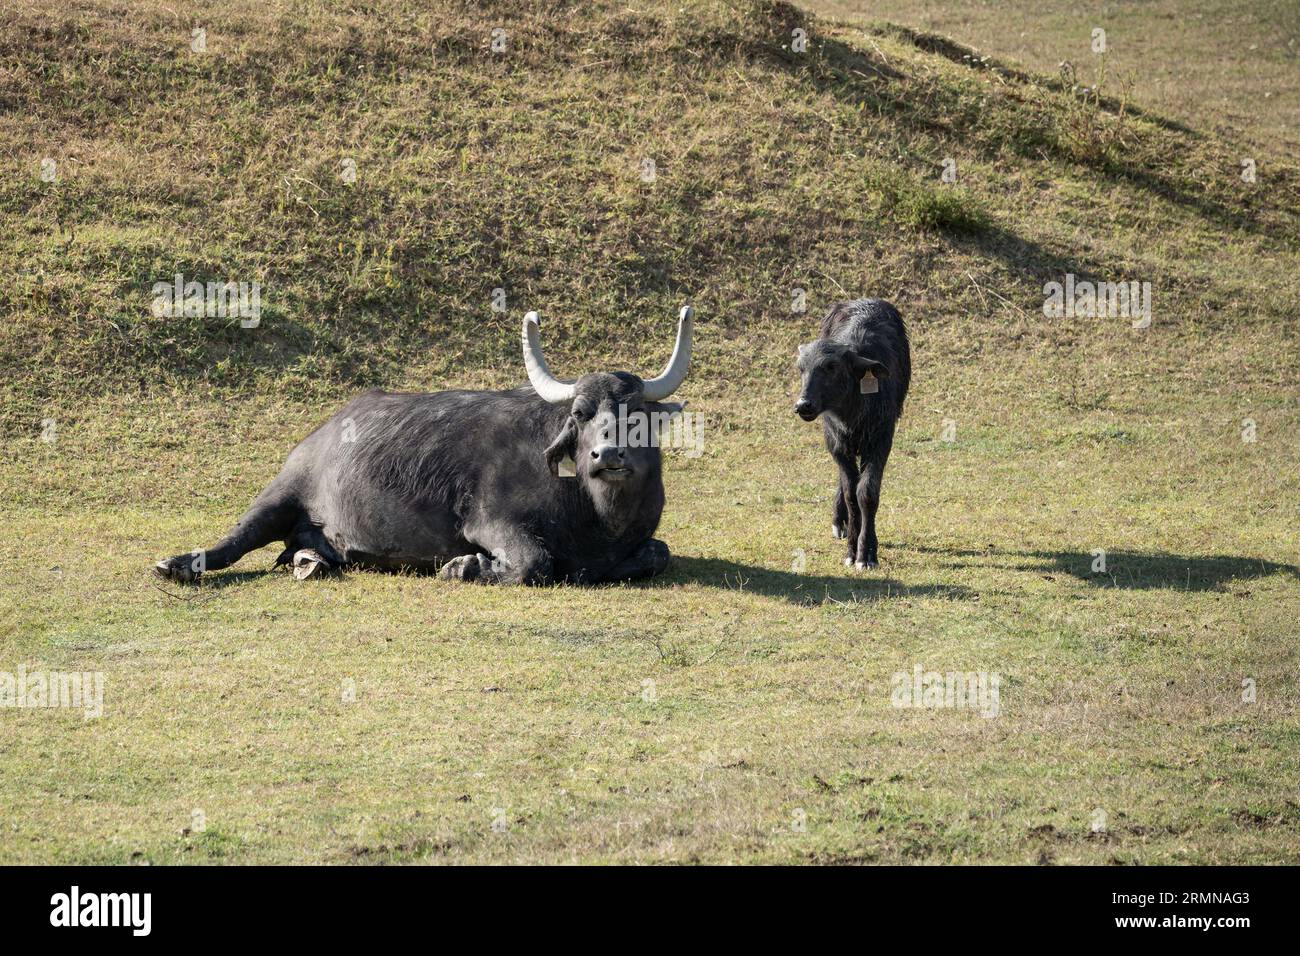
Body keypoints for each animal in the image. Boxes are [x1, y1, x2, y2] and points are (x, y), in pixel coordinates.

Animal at [153, 310, 696, 587]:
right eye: (580, 414)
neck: (597, 513)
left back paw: (312, 561)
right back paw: (177, 564)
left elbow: (659, 553)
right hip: (279, 494)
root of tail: (323, 431)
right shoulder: (491, 523)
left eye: (635, 412)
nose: (608, 456)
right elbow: (533, 563)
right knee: (235, 540)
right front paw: (465, 566)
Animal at [790, 299, 915, 567]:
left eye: (831, 366)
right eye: (801, 368)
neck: (852, 412)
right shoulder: (836, 444)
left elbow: (866, 494)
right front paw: (851, 550)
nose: (803, 405)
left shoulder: (881, 442)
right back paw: (840, 521)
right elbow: (850, 495)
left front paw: (866, 554)